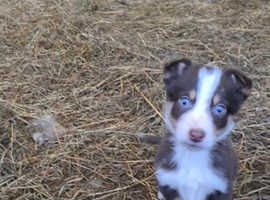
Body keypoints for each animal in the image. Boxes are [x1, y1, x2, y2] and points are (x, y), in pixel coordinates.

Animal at [142, 58, 252, 200]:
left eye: (220, 109)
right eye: (184, 101)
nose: (196, 135)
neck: (192, 157)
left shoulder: (222, 187)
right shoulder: (169, 182)